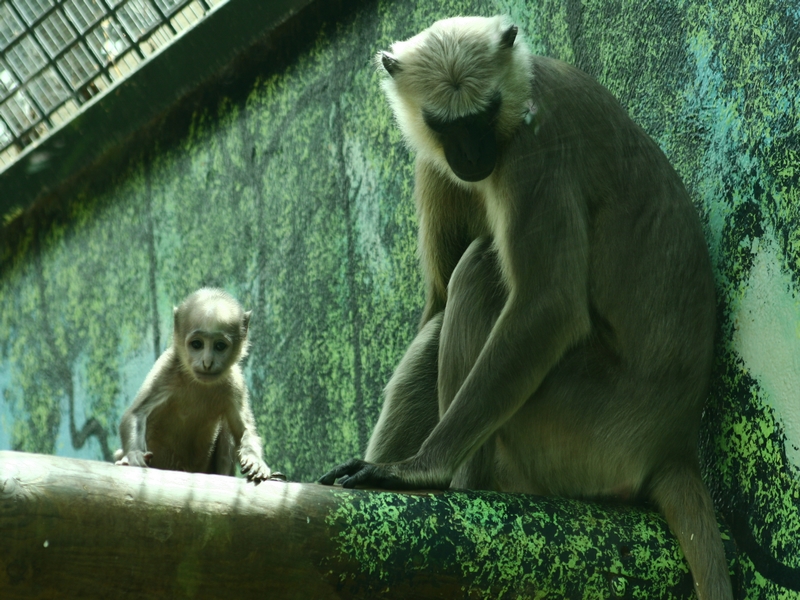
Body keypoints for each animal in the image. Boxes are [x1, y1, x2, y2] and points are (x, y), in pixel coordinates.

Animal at [114, 288, 278, 482]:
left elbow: (246, 430)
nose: (207, 363)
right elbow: (136, 413)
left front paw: (255, 461)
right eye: (197, 344)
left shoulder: (236, 382)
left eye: (220, 346)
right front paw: (134, 455)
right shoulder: (167, 368)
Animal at [322, 16, 736, 600]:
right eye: (446, 124)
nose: (473, 156)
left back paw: (456, 485)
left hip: (582, 430)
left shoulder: (534, 146)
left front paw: (419, 471)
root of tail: (673, 444)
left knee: (480, 273)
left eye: (483, 115)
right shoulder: (438, 164)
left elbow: (549, 307)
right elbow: (437, 305)